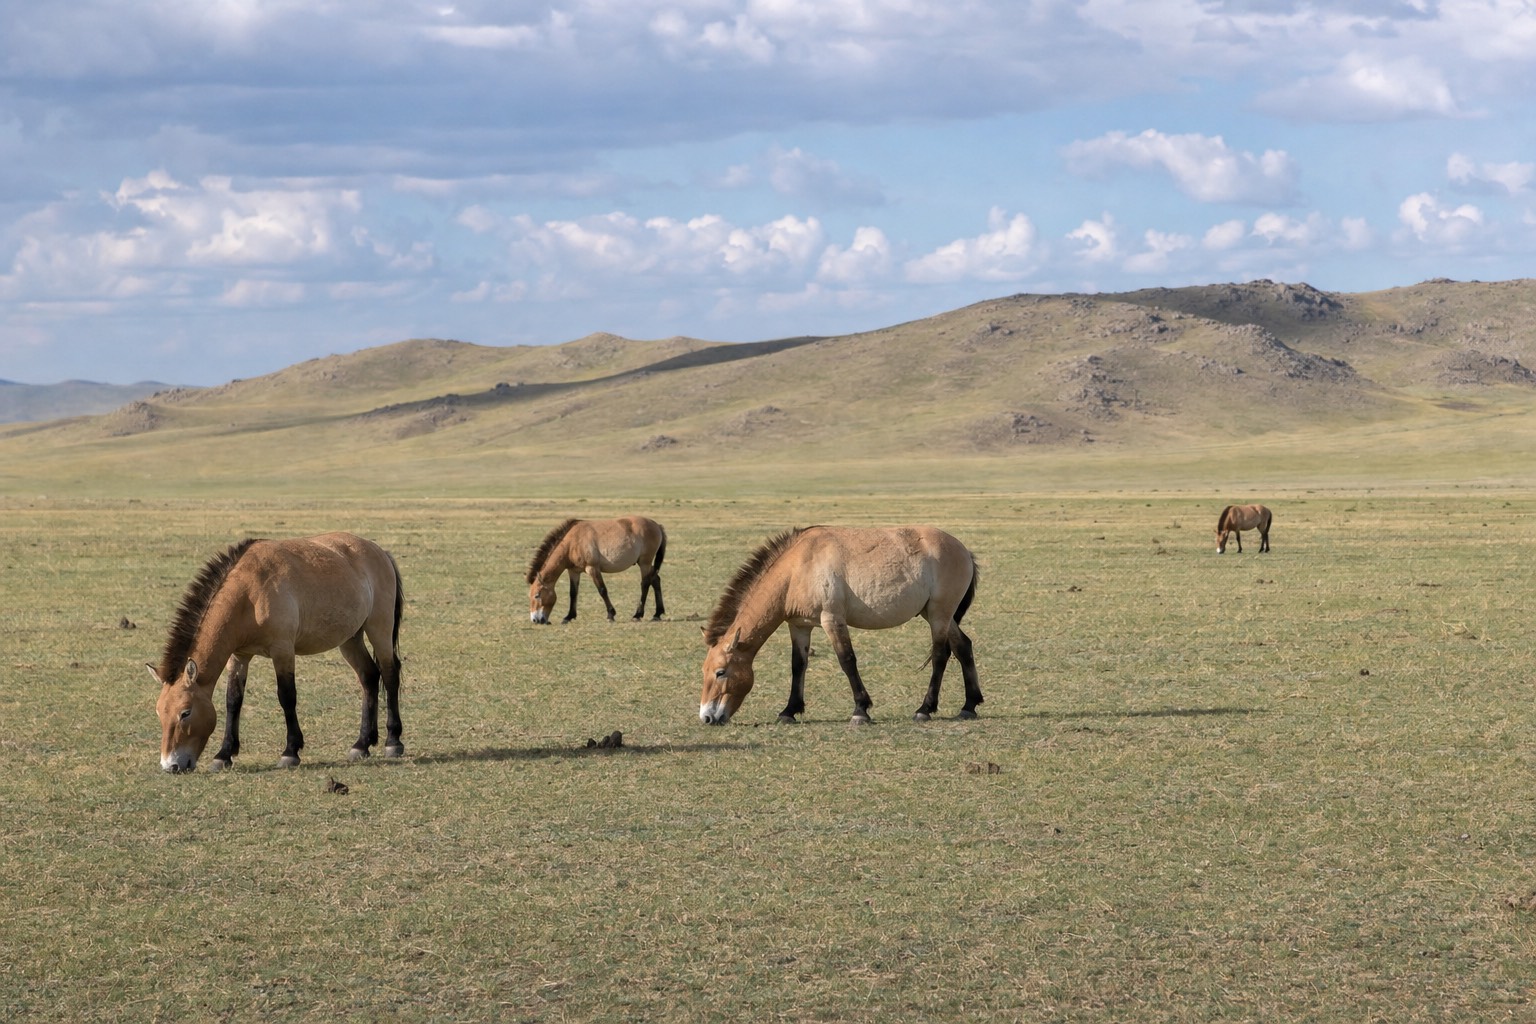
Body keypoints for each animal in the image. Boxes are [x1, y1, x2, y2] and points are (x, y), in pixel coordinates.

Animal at [150, 532, 404, 774]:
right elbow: (233, 700)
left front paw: (290, 752)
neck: (249, 593)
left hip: (379, 629)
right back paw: (362, 744)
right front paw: (224, 755)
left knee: (390, 674)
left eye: (185, 712)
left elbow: (287, 696)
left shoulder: (282, 650)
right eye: (159, 713)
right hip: (350, 639)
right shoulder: (239, 656)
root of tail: (380, 552)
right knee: (369, 677)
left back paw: (393, 742)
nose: (171, 765)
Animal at [526, 516, 667, 624]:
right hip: (646, 564)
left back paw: (638, 614)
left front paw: (611, 615)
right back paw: (657, 614)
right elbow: (573, 593)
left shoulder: (592, 569)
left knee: (645, 584)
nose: (535, 620)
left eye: (537, 595)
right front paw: (569, 616)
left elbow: (602, 590)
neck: (572, 542)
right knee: (656, 580)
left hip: (644, 563)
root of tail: (657, 525)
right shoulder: (574, 571)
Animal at [699, 525, 982, 726]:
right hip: (937, 615)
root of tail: (964, 550)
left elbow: (847, 660)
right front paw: (789, 711)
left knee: (941, 655)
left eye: (721, 672)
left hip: (939, 614)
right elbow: (798, 665)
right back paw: (969, 706)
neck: (798, 567)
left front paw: (860, 711)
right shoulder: (799, 626)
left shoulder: (832, 619)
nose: (707, 717)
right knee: (963, 647)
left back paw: (925, 709)